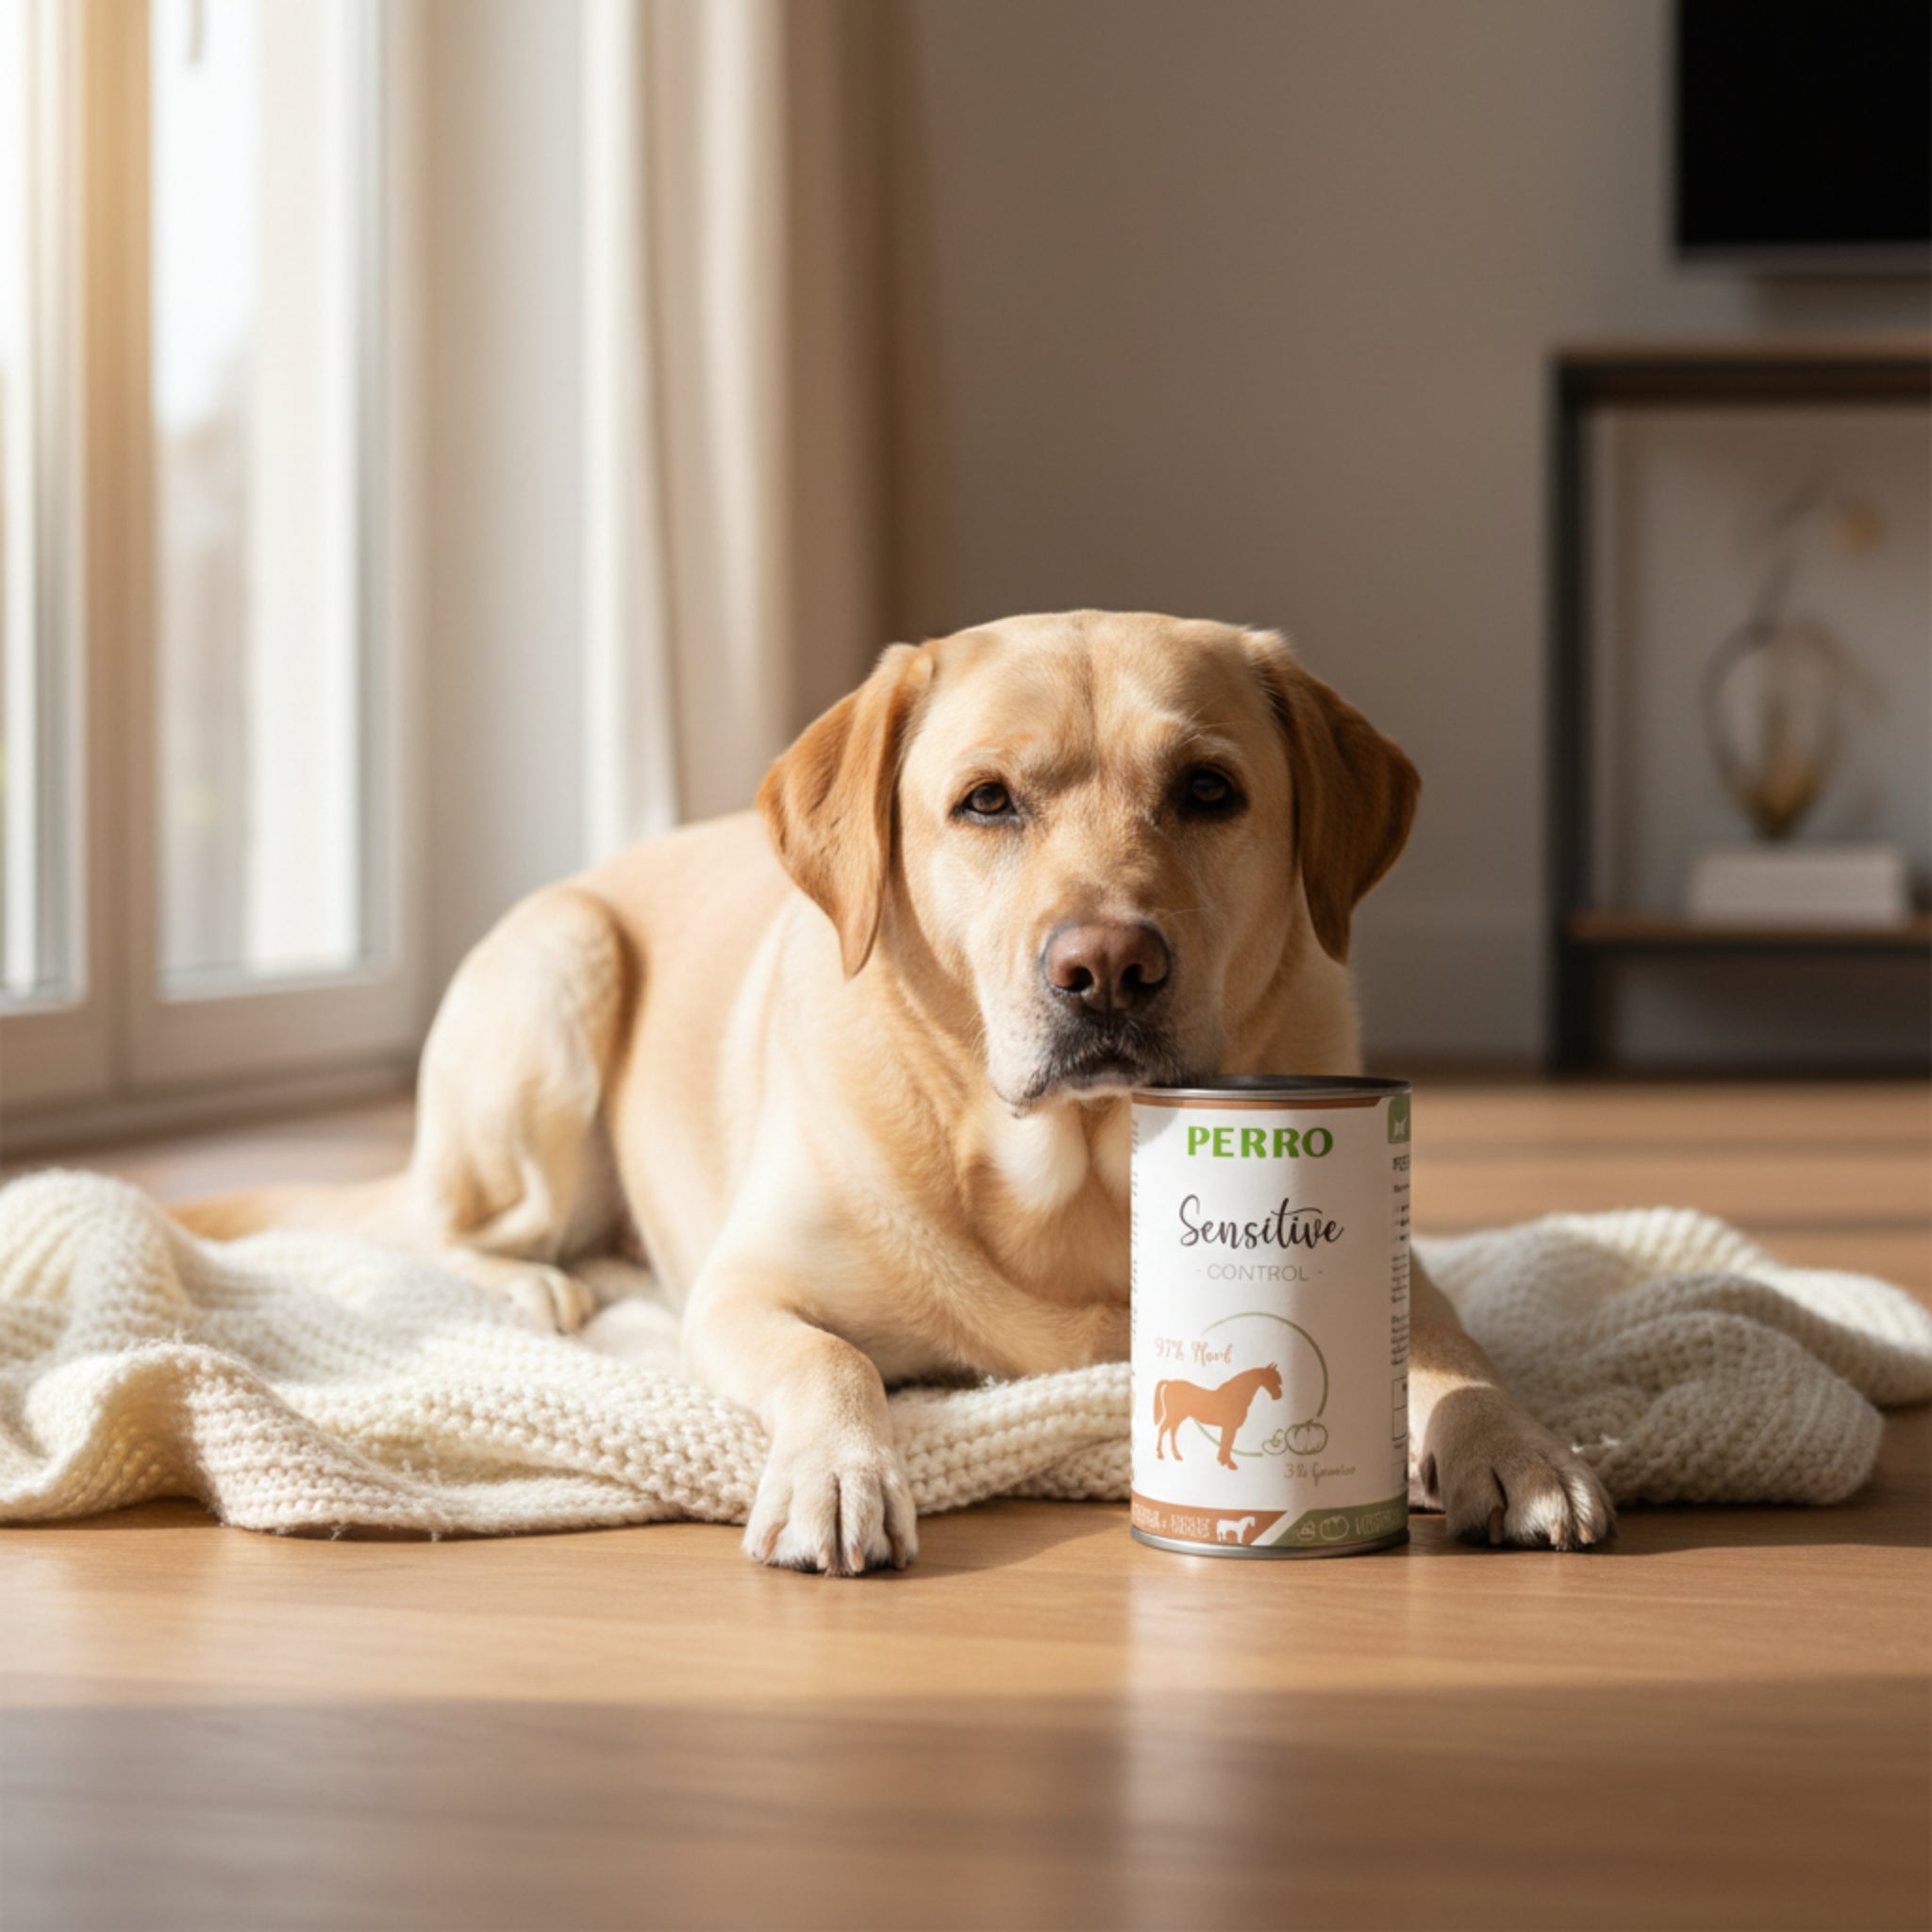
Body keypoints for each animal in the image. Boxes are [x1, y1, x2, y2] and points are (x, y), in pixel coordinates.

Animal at [1152, 1363, 1284, 1469]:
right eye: (1271, 1379)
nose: (1278, 1396)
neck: (1235, 1397)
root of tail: (1170, 1382)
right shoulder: (1230, 1426)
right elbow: (1227, 1443)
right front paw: (1228, 1463)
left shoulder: (1229, 1427)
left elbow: (1226, 1443)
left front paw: (1222, 1461)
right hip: (1174, 1415)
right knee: (1163, 1429)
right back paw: (1160, 1454)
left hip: (1178, 1417)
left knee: (1172, 1432)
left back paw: (1176, 1456)